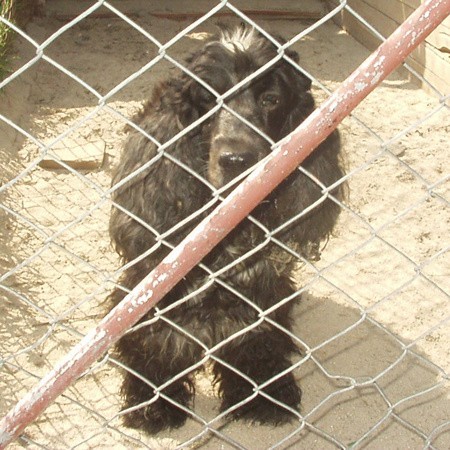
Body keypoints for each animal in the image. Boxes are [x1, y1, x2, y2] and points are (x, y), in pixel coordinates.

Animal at [108, 26, 344, 434]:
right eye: (207, 98)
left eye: (270, 99)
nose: (236, 159)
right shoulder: (153, 287)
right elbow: (156, 341)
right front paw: (153, 405)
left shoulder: (260, 286)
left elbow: (256, 339)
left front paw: (263, 396)